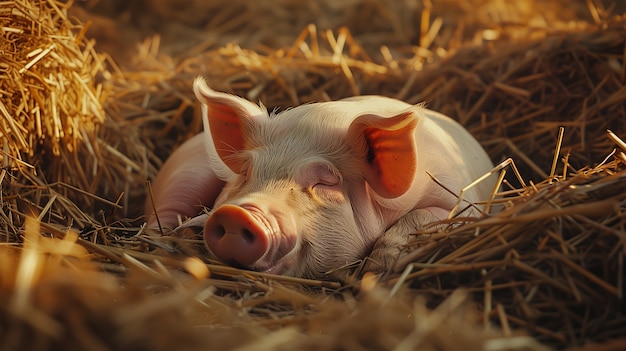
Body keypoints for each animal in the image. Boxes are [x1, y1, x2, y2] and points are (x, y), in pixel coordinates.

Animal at [144, 77, 494, 280]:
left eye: (325, 183)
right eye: (246, 172)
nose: (236, 213)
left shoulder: (461, 201)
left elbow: (426, 217)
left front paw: (374, 271)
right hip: (185, 171)